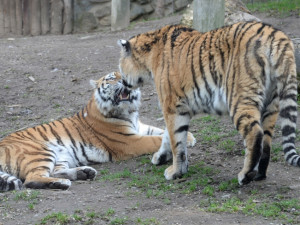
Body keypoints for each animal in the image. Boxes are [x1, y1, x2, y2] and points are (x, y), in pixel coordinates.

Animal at [0, 72, 197, 192]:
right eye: (111, 79)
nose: (125, 81)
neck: (129, 112)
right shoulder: (130, 141)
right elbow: (155, 139)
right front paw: (188, 139)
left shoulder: (140, 127)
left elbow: (161, 131)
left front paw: (188, 136)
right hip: (40, 151)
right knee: (31, 179)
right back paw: (63, 183)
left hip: (60, 155)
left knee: (54, 172)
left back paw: (84, 173)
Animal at [118, 21, 298, 185]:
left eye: (120, 67)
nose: (122, 82)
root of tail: (275, 34)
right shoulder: (176, 108)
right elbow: (168, 137)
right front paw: (161, 157)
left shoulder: (172, 107)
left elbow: (176, 141)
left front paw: (175, 171)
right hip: (271, 104)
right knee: (267, 140)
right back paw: (260, 174)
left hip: (240, 98)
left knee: (255, 133)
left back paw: (245, 175)